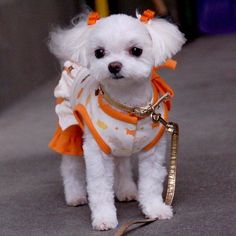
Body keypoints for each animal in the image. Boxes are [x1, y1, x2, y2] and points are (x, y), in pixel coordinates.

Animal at [48, 10, 185, 230]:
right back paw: (75, 195)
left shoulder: (152, 150)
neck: (130, 107)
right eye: (99, 52)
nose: (114, 66)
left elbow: (151, 182)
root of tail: (74, 64)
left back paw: (126, 190)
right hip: (70, 126)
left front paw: (154, 209)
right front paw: (104, 218)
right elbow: (100, 188)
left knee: (121, 164)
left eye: (136, 50)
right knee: (70, 166)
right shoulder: (97, 151)